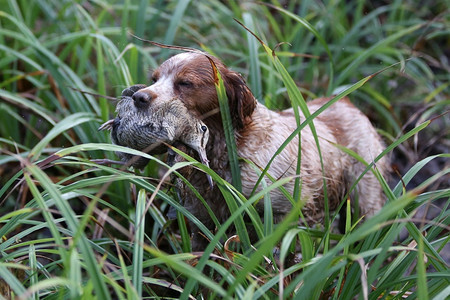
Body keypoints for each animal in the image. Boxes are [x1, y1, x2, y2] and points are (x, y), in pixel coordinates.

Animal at [108, 52, 386, 250]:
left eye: (185, 83)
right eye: (154, 79)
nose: (139, 97)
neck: (227, 152)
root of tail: (347, 103)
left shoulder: (287, 215)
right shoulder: (201, 221)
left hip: (366, 198)